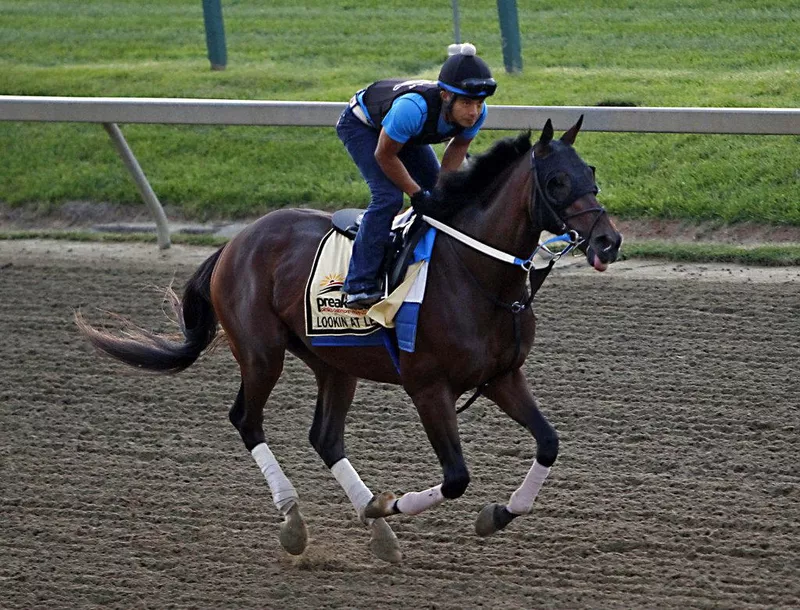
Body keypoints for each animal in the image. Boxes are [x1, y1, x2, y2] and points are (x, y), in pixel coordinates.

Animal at [76, 116, 624, 564]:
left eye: (591, 173)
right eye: (556, 181)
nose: (609, 240)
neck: (476, 275)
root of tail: (236, 241)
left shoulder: (501, 376)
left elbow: (549, 443)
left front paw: (498, 514)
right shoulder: (428, 387)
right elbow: (456, 478)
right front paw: (388, 503)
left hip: (334, 364)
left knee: (325, 436)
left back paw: (377, 533)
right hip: (261, 352)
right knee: (246, 420)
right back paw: (295, 520)